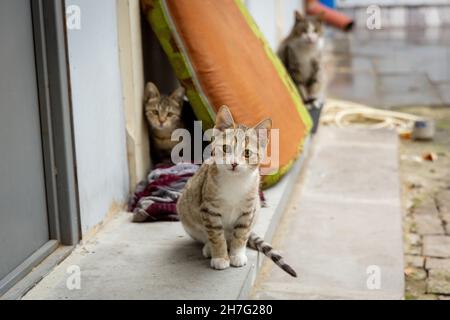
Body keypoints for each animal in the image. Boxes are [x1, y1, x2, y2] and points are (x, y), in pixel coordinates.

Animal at [178, 106, 298, 276]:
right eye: (225, 148)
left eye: (247, 153)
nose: (234, 163)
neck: (235, 182)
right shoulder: (209, 209)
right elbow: (216, 235)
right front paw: (220, 257)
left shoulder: (248, 210)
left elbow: (241, 234)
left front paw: (237, 255)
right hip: (186, 210)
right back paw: (209, 247)